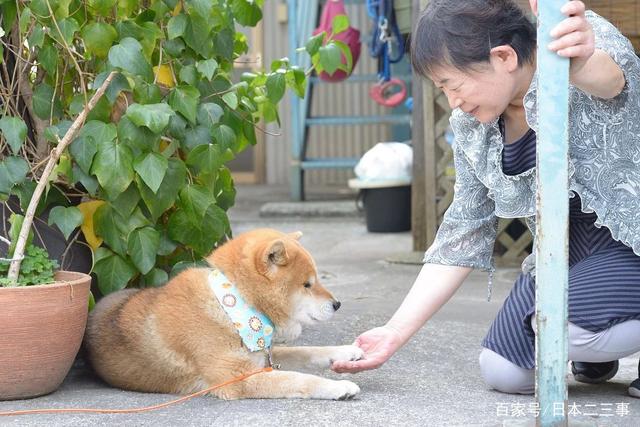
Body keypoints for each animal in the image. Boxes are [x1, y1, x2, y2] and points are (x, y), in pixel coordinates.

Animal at [84, 229, 362, 400]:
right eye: (307, 285)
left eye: (316, 280)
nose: (337, 304)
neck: (233, 307)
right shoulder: (237, 379)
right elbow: (299, 379)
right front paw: (338, 386)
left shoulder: (263, 357)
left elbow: (308, 352)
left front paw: (347, 351)